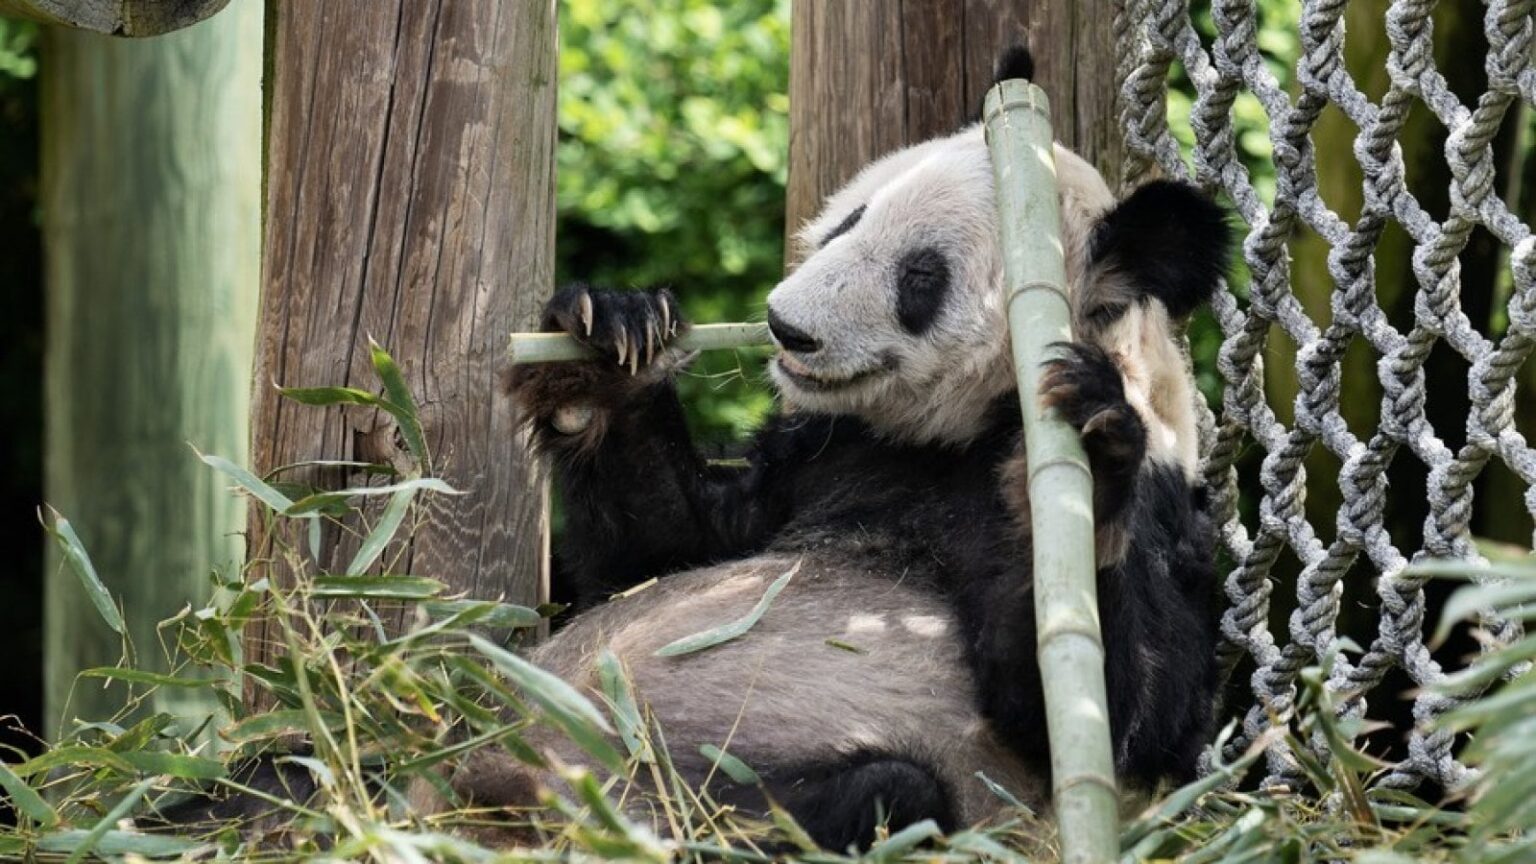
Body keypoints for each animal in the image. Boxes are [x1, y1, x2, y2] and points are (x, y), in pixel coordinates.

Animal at [445, 47, 1234, 852]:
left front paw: (1096, 459)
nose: (785, 327)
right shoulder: (828, 453)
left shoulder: (1164, 512)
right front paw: (607, 340)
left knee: (882, 793)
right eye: (852, 219)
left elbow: (1124, 715)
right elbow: (661, 551)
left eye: (921, 276)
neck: (960, 431)